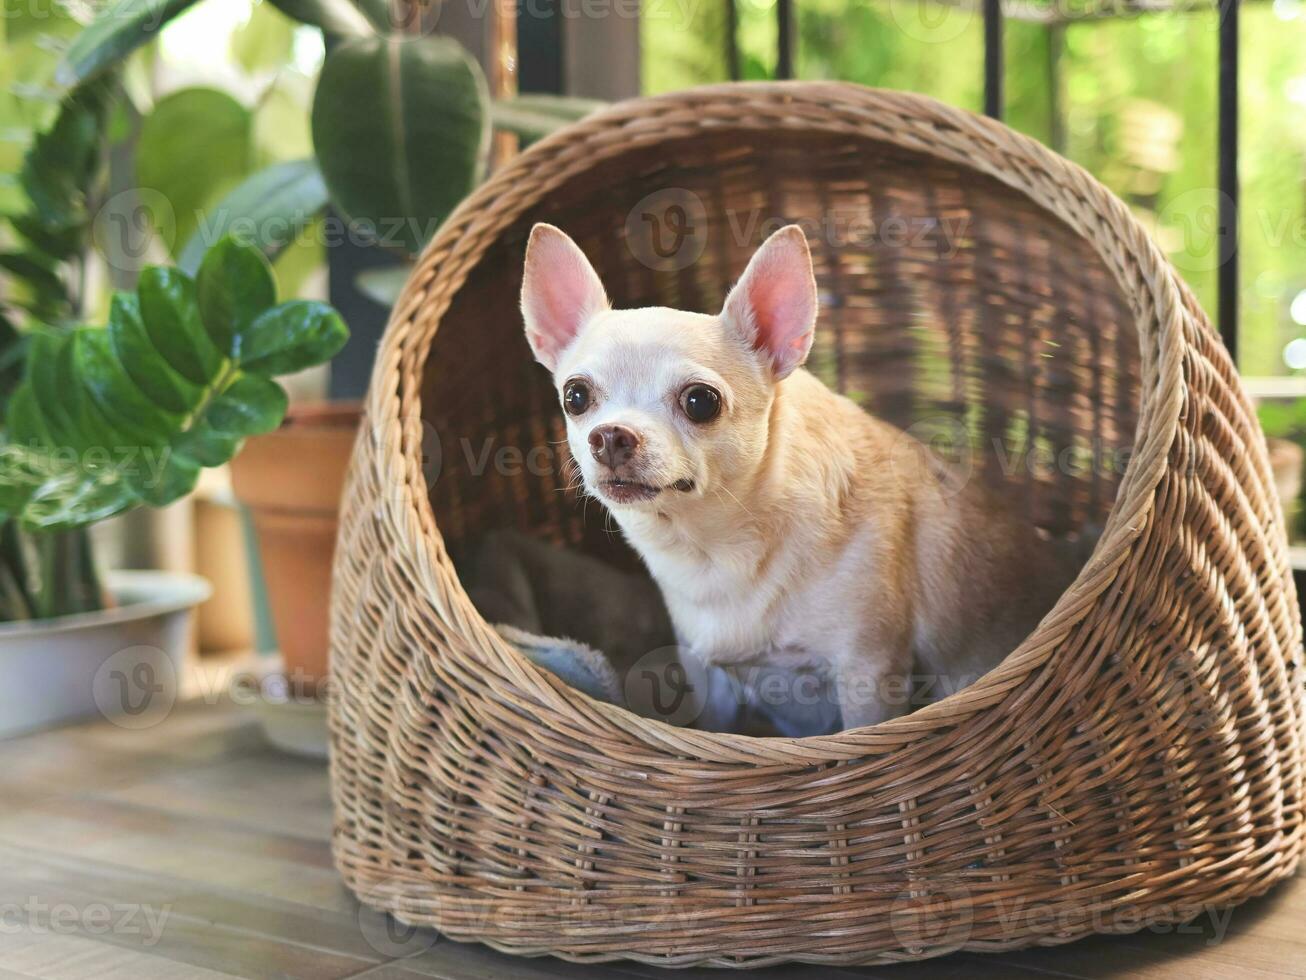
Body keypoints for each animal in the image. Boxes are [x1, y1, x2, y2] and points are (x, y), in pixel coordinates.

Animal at [514, 220, 1076, 731]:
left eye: (700, 402)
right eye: (575, 396)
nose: (610, 435)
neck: (715, 548)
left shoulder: (869, 674)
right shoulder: (709, 677)